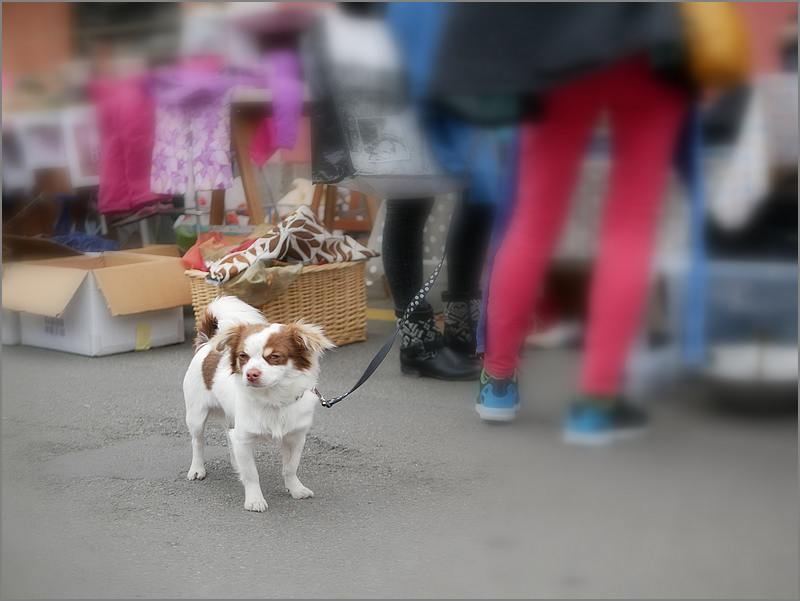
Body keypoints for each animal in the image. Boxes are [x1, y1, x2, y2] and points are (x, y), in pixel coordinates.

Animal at [183, 296, 332, 510]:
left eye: (274, 357)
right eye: (243, 357)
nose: (251, 374)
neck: (273, 398)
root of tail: (207, 344)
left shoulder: (295, 438)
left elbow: (290, 467)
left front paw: (295, 489)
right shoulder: (244, 438)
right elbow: (252, 474)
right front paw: (254, 500)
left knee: (229, 437)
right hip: (196, 416)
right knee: (198, 442)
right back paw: (197, 469)